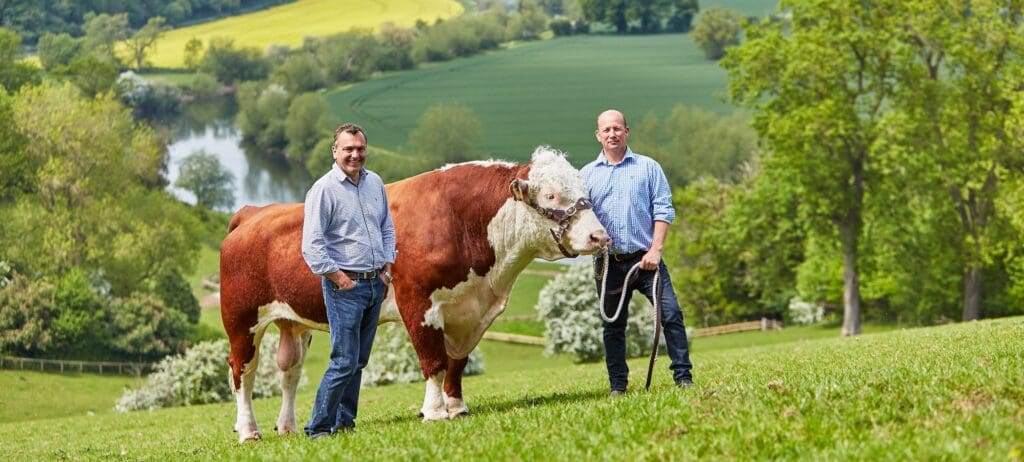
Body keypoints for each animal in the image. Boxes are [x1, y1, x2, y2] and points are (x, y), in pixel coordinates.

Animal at [220, 146, 606, 442]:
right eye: (551, 195)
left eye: (585, 190)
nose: (600, 236)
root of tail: (252, 212)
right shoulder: (418, 303)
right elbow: (433, 360)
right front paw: (434, 411)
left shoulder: (469, 311)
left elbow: (457, 362)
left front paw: (457, 407)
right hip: (241, 320)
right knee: (242, 372)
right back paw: (248, 431)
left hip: (292, 322)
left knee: (289, 372)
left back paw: (286, 427)